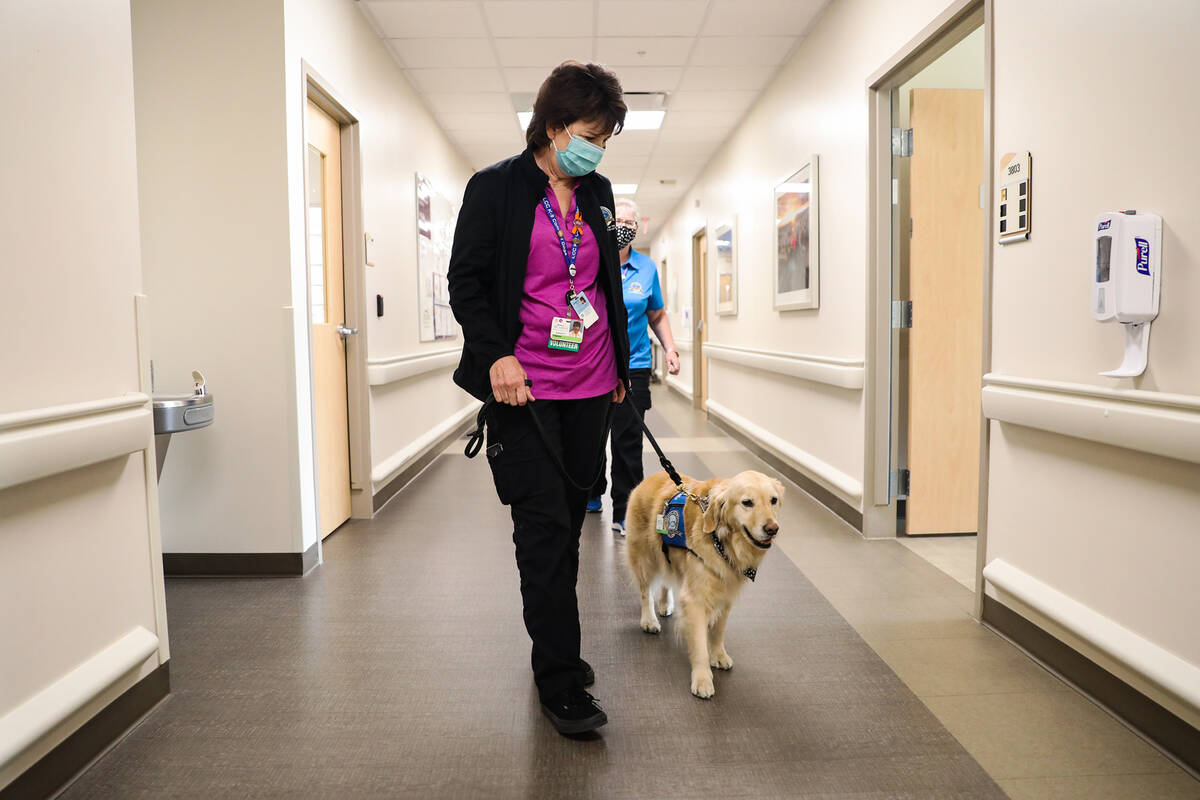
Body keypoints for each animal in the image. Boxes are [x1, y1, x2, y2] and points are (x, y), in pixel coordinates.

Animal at [624, 470, 782, 700]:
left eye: (773, 500)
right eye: (747, 502)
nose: (772, 529)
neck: (723, 541)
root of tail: (652, 476)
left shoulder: (726, 594)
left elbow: (717, 631)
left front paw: (719, 655)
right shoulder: (695, 600)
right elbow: (699, 644)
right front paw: (702, 679)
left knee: (666, 580)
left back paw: (665, 604)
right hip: (644, 556)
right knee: (645, 592)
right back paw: (649, 620)